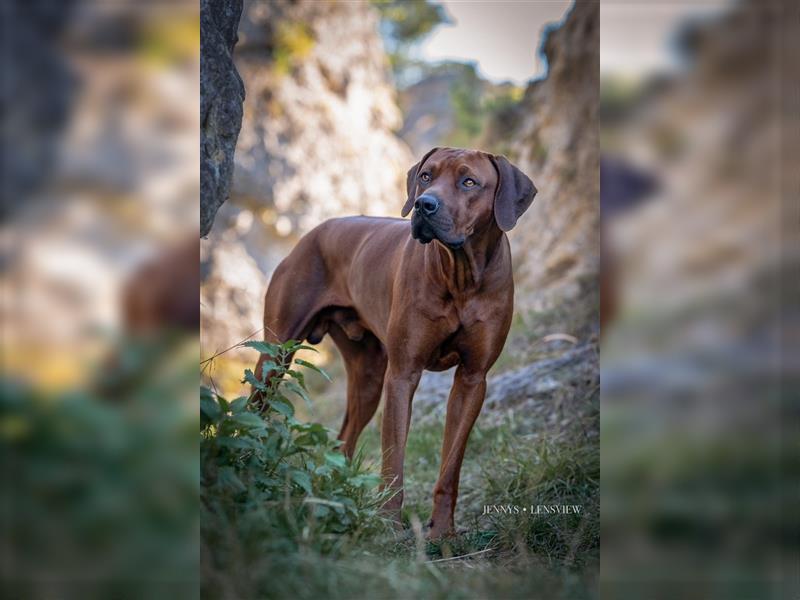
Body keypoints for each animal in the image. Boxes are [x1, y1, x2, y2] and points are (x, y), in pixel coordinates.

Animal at [253, 146, 536, 540]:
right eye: (426, 176)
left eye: (469, 182)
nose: (424, 205)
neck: (460, 276)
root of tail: (310, 234)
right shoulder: (403, 375)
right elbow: (394, 459)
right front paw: (389, 526)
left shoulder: (472, 379)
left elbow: (451, 465)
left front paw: (443, 532)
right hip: (275, 358)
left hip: (369, 376)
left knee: (345, 437)